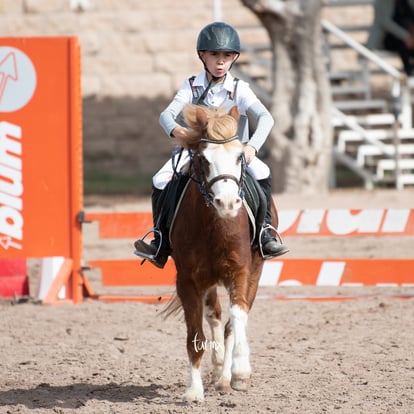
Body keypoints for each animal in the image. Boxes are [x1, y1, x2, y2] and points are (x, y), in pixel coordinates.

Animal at [167, 103, 274, 402]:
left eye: (239, 156)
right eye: (203, 158)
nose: (227, 203)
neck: (215, 224)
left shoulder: (240, 271)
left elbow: (237, 317)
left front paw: (240, 372)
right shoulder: (188, 280)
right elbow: (196, 335)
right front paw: (193, 390)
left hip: (255, 271)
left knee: (231, 321)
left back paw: (227, 376)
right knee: (213, 314)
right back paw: (217, 370)